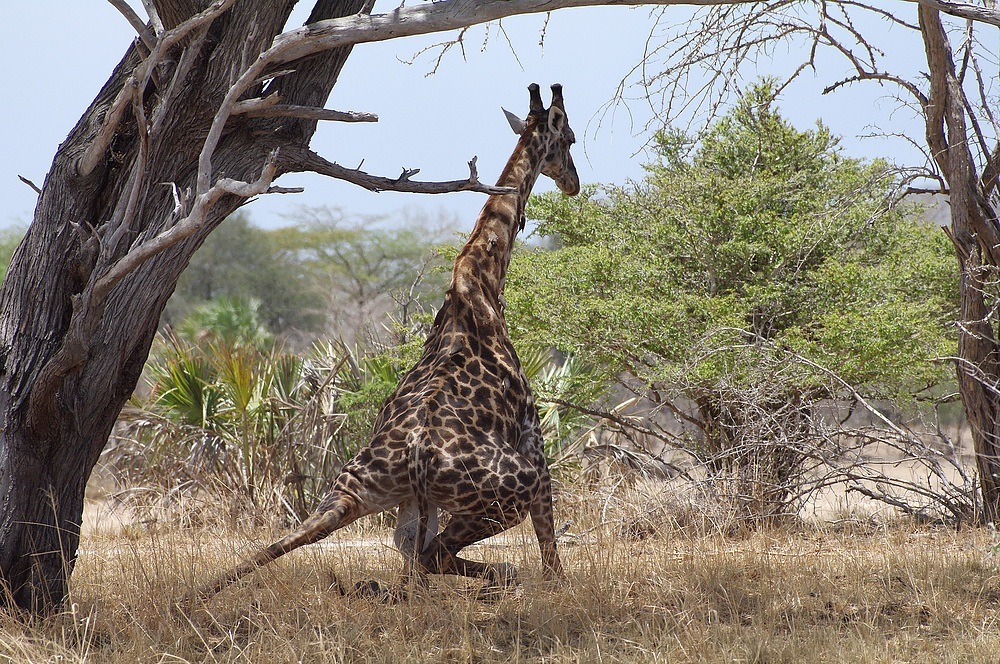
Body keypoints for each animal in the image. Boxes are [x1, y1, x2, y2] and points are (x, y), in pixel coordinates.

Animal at [189, 83, 580, 600]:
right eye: (570, 139)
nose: (574, 183)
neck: (480, 280)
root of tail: (416, 457)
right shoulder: (535, 439)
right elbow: (551, 550)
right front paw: (557, 589)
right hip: (509, 490)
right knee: (434, 554)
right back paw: (495, 580)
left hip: (359, 490)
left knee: (326, 543)